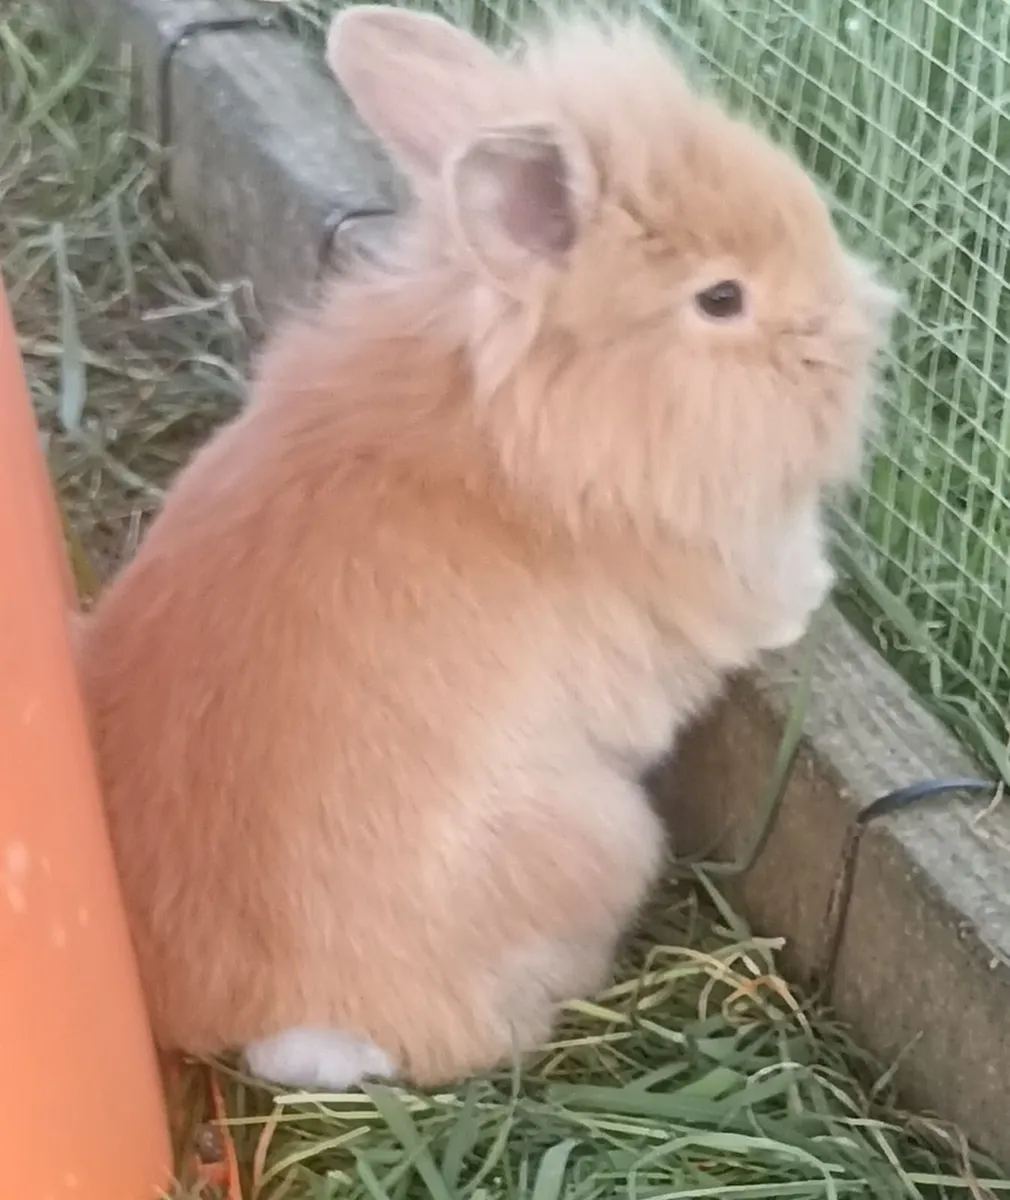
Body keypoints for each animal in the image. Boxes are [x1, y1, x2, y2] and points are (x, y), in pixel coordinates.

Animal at [75, 5, 895, 1094]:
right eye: (720, 299)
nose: (853, 334)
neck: (518, 411)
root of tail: (246, 1015)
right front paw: (818, 587)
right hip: (606, 838)